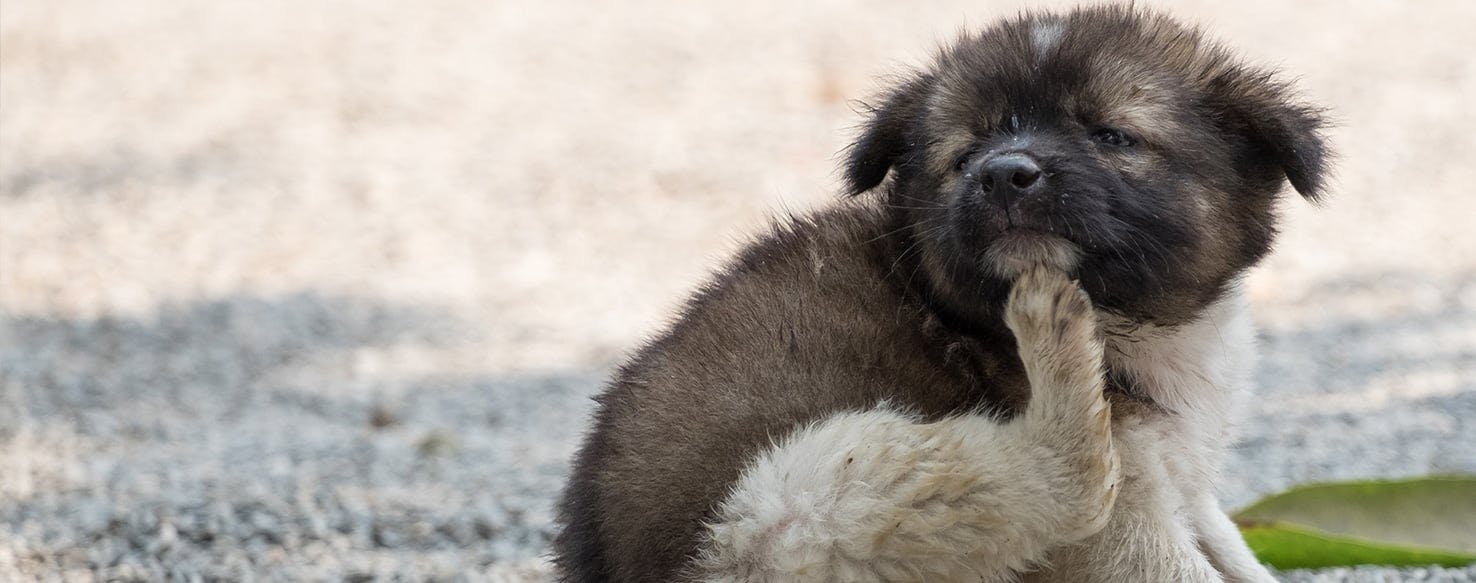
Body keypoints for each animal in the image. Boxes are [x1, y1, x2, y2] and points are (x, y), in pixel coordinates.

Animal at [552, 5, 1328, 583]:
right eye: (965, 154)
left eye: (1112, 135)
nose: (1003, 173)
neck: (1136, 324)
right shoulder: (1124, 520)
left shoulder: (1185, 482)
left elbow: (1232, 551)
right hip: (806, 494)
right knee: (1060, 481)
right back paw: (1051, 336)